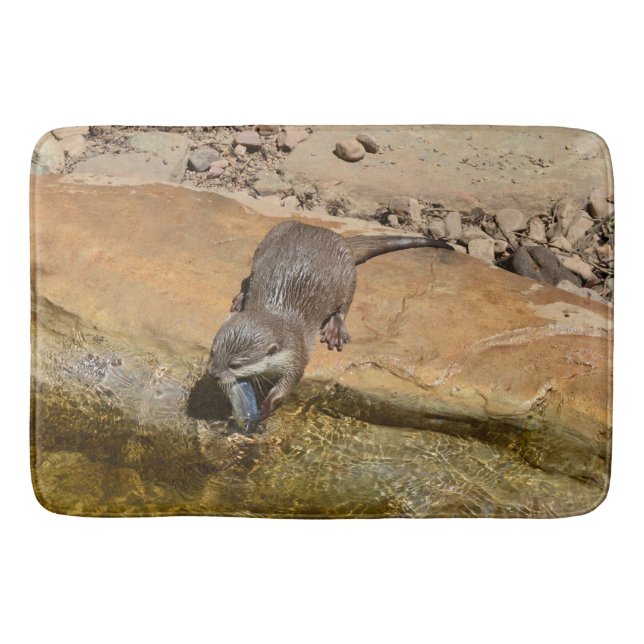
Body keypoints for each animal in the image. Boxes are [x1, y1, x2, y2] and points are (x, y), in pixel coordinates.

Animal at [207, 220, 452, 421]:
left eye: (235, 364)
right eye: (212, 352)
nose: (212, 373)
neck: (276, 311)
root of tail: (334, 236)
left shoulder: (297, 353)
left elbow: (289, 383)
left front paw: (267, 405)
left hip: (347, 274)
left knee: (344, 304)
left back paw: (336, 329)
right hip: (267, 241)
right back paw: (242, 297)